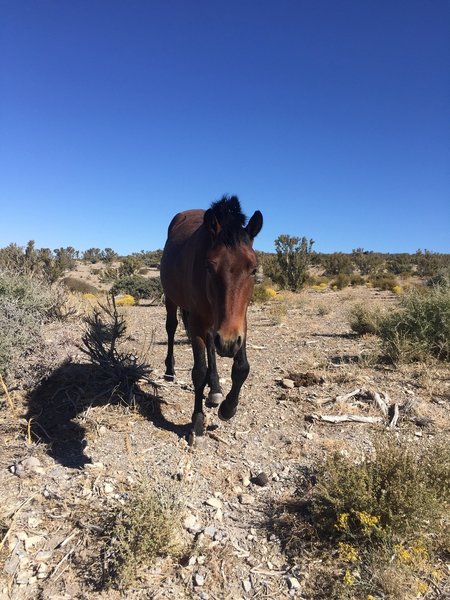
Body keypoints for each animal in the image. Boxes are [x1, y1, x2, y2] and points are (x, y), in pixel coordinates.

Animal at [159, 196, 262, 440]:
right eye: (208, 265)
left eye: (254, 269)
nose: (227, 342)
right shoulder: (199, 321)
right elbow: (198, 372)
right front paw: (197, 422)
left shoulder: (239, 323)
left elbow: (242, 368)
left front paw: (228, 407)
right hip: (172, 299)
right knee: (172, 327)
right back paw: (170, 371)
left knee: (210, 345)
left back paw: (215, 388)